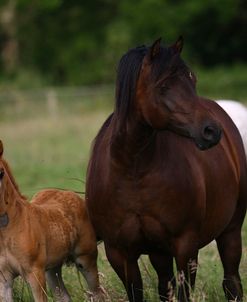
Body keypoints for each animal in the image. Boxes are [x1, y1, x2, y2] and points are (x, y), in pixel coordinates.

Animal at [0, 142, 104, 302]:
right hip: (52, 269)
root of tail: (73, 195)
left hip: (86, 259)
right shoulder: (4, 279)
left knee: (98, 293)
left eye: (1, 172)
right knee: (64, 297)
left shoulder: (35, 274)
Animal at [85, 37, 247, 302]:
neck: (133, 170)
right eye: (163, 86)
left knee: (231, 282)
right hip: (158, 251)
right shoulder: (119, 253)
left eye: (193, 80)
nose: (211, 131)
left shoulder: (185, 246)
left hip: (231, 230)